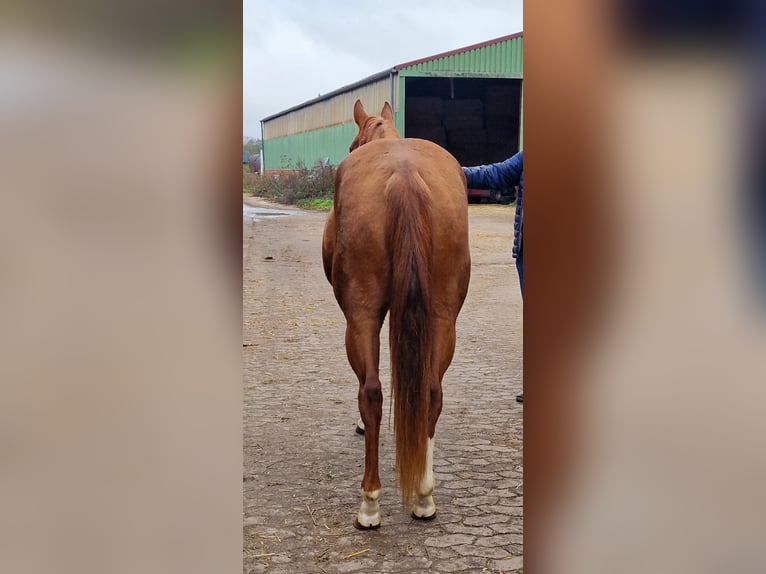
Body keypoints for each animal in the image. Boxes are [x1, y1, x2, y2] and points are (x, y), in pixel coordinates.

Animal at [321, 100, 471, 529]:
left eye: (352, 143)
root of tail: (405, 177)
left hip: (361, 315)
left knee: (371, 392)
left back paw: (369, 503)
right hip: (442, 317)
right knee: (432, 392)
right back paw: (424, 496)